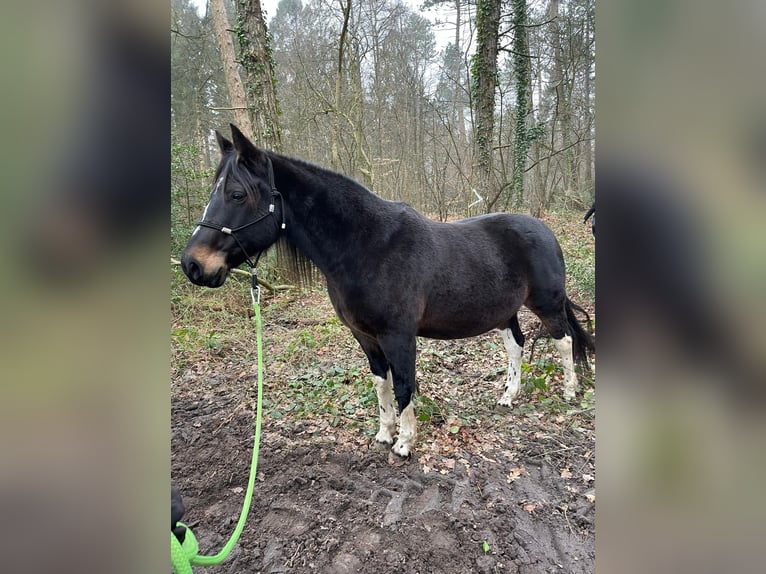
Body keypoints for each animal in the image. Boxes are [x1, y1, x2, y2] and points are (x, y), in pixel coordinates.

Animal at [181, 125, 595, 458]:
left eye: (236, 194)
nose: (193, 264)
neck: (368, 246)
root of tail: (544, 230)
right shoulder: (365, 336)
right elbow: (382, 384)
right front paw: (384, 434)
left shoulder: (399, 335)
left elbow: (405, 385)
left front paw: (405, 444)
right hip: (505, 311)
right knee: (516, 345)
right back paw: (509, 396)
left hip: (546, 303)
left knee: (563, 340)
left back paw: (569, 392)